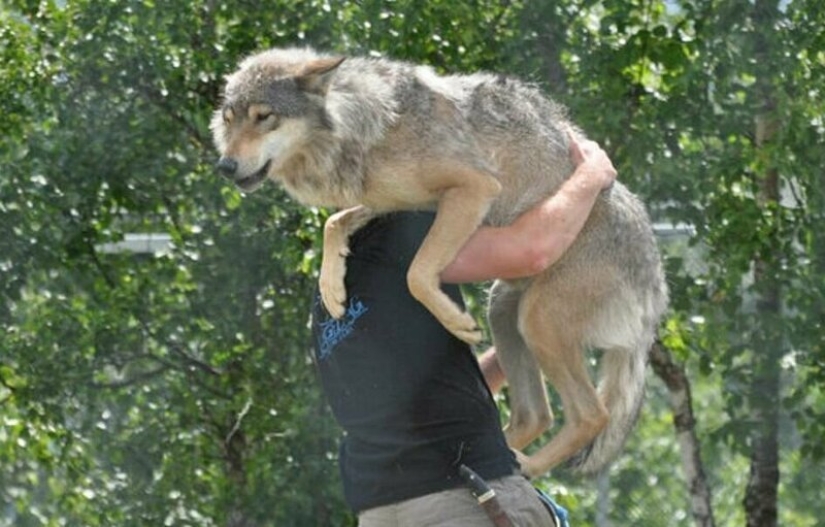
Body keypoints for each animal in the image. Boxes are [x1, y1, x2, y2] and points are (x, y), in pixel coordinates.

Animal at [211, 47, 669, 478]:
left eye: (263, 117)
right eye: (229, 119)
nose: (224, 165)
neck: (366, 128)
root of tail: (655, 291)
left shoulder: (473, 187)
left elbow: (416, 273)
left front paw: (454, 321)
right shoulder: (395, 205)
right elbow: (333, 222)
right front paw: (332, 286)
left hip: (536, 320)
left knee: (591, 415)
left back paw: (530, 465)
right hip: (506, 310)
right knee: (536, 415)